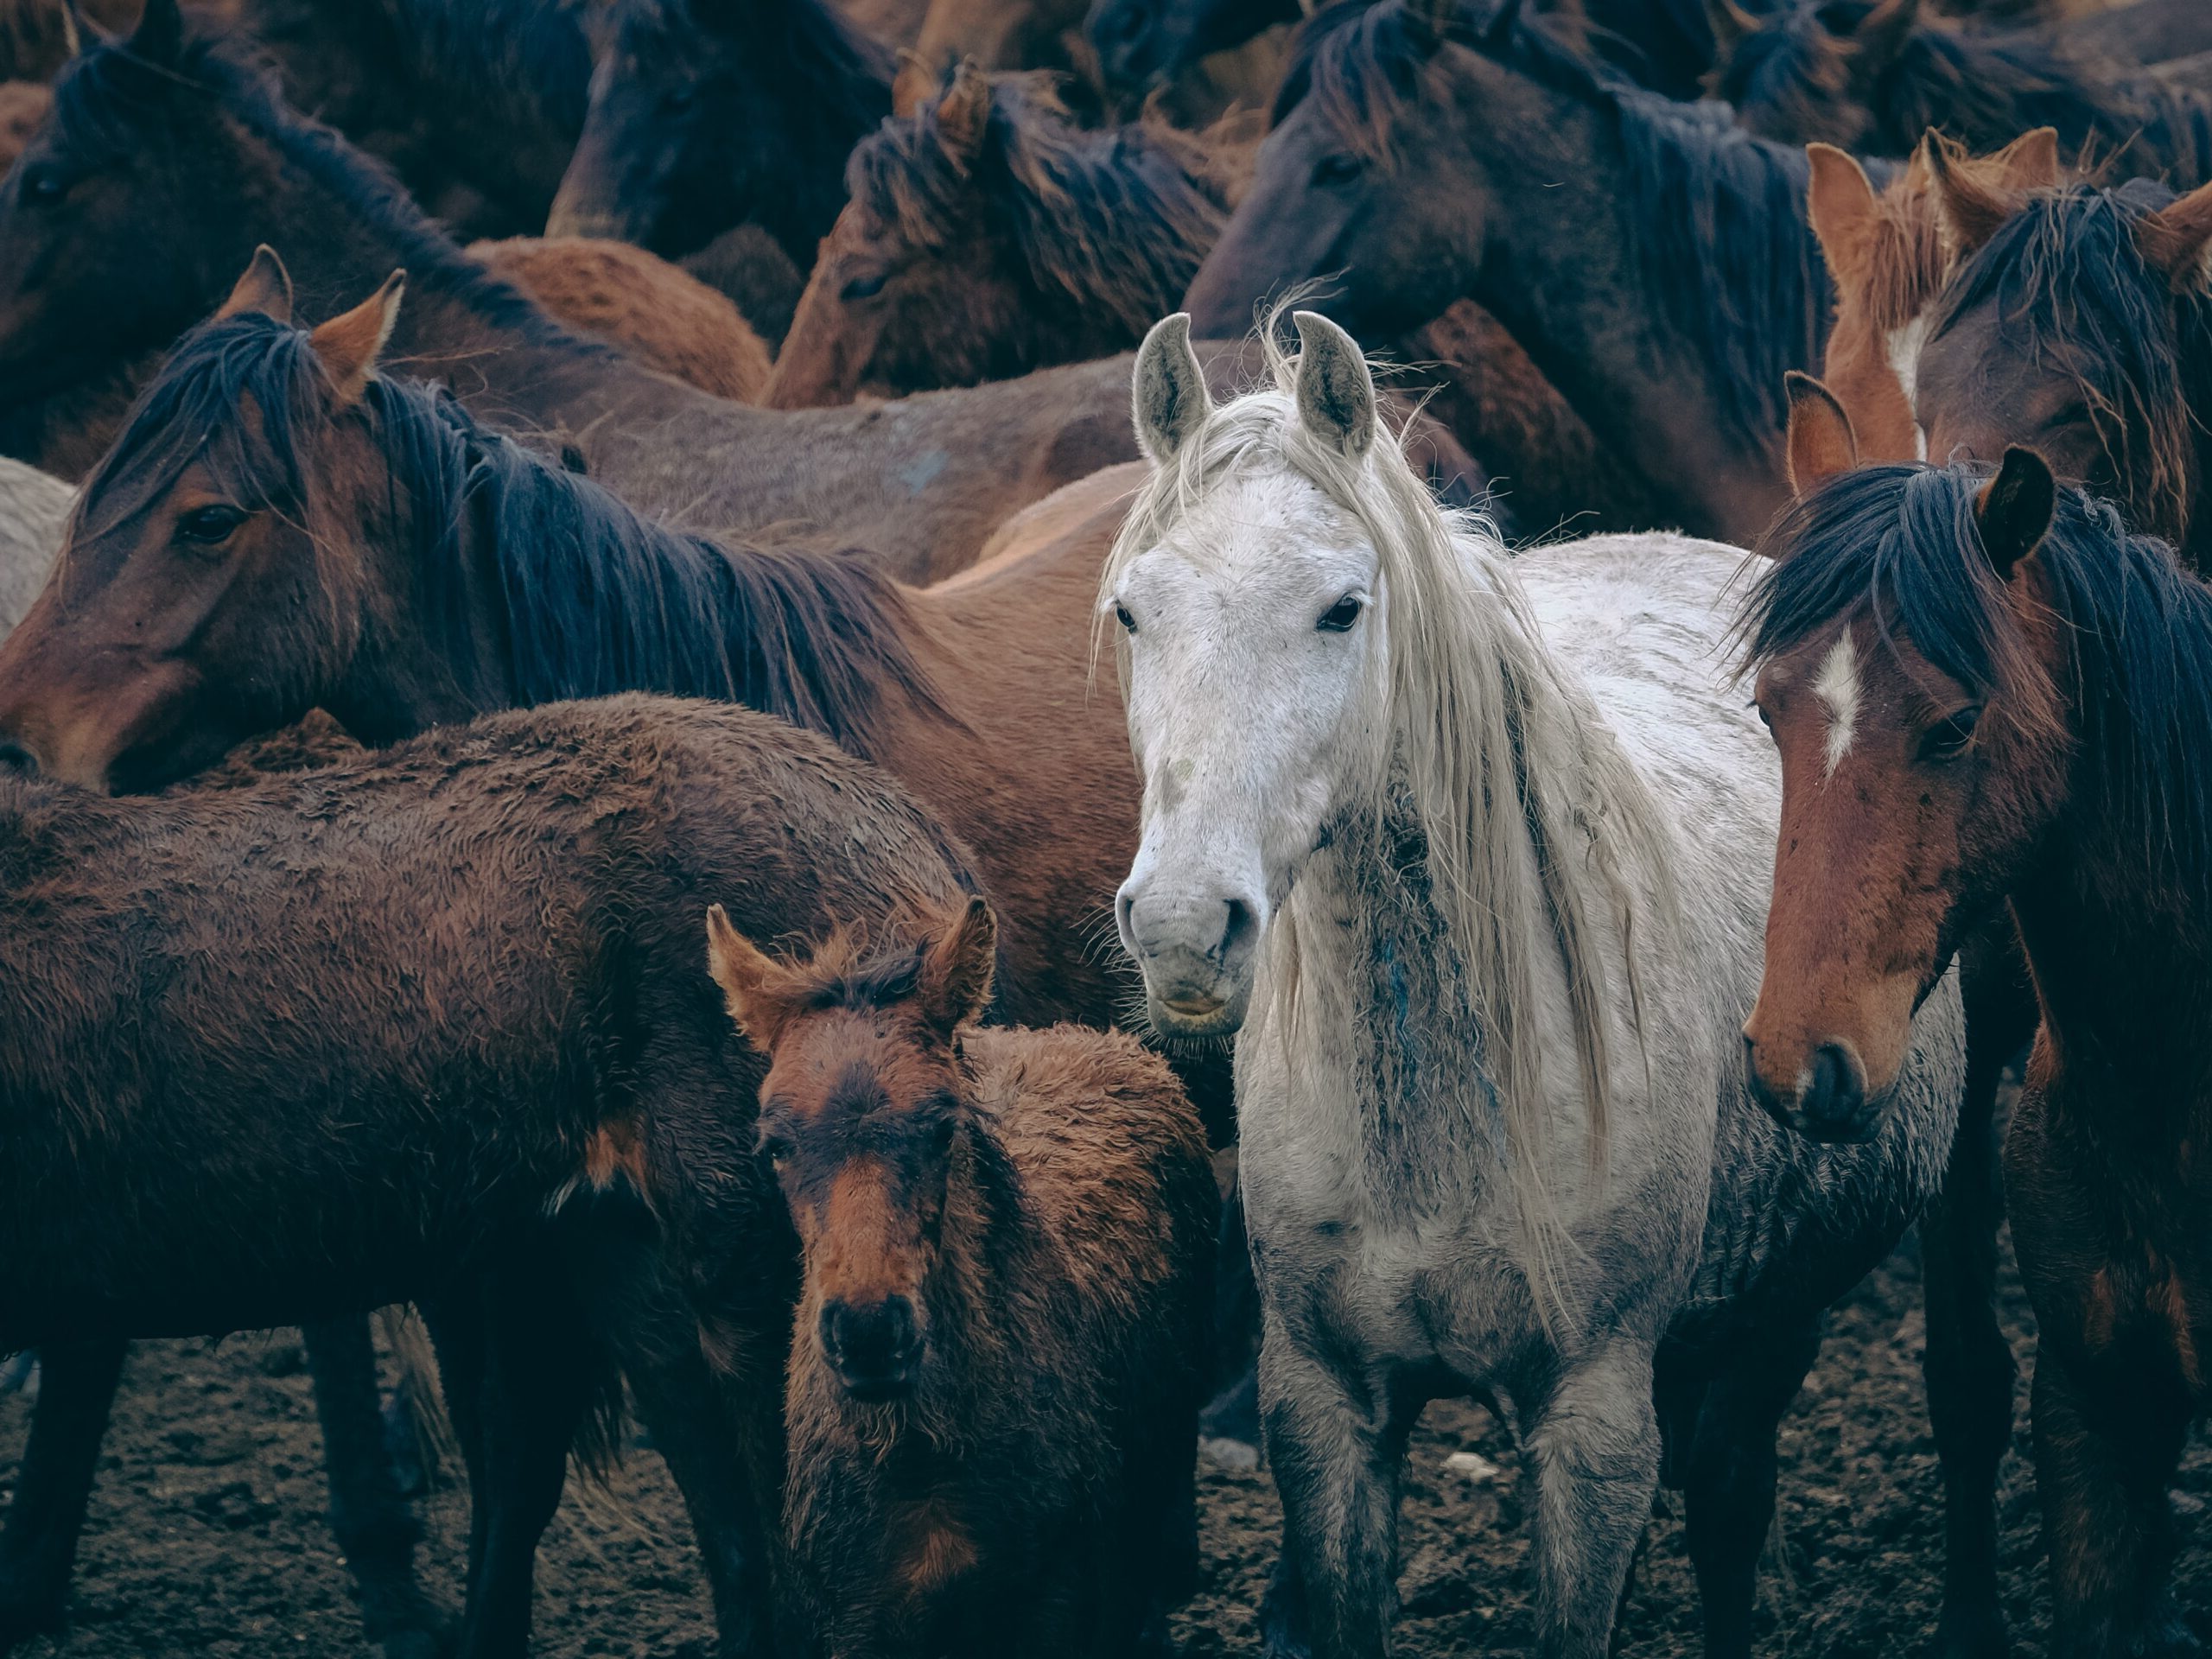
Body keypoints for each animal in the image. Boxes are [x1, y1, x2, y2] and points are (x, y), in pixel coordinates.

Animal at [708, 897, 1218, 1657]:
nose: (869, 1332)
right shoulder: (855, 1621)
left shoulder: (1061, 1606)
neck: (922, 1470)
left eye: (943, 1126)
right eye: (775, 1144)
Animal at [1103, 308, 1966, 1659]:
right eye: (1134, 614)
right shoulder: (1324, 1410)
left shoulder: (1593, 1419)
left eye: (1342, 610)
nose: (1186, 926)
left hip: (1773, 1326)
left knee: (1729, 1508)